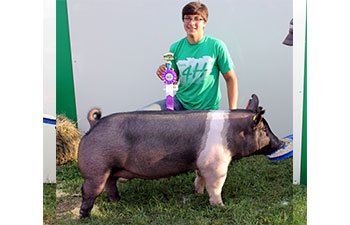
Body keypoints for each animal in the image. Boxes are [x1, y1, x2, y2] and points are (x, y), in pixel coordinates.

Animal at [78, 94, 284, 219]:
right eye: (264, 130)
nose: (281, 143)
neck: (232, 133)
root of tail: (93, 124)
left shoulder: (202, 164)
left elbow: (199, 178)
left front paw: (198, 193)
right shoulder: (216, 164)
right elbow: (216, 186)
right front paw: (221, 206)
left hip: (110, 170)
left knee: (110, 184)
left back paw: (118, 201)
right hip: (96, 170)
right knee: (88, 191)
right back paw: (85, 216)